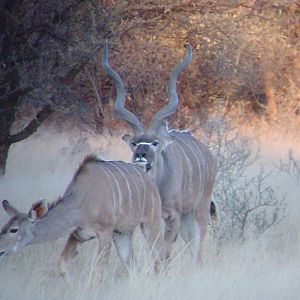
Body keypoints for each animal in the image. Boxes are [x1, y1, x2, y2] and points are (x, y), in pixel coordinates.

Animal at [0, 156, 164, 280]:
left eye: (14, 230)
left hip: (150, 223)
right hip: (122, 233)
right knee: (131, 264)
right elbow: (62, 265)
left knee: (159, 255)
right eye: (3, 228)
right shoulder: (78, 234)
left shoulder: (105, 232)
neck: (81, 200)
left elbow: (99, 272)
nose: (0, 251)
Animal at [103, 41, 216, 262]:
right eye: (134, 143)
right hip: (187, 217)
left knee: (198, 245)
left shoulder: (173, 215)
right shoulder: (150, 219)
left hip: (199, 208)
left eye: (155, 142)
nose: (141, 154)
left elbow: (165, 250)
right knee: (191, 241)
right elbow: (156, 249)